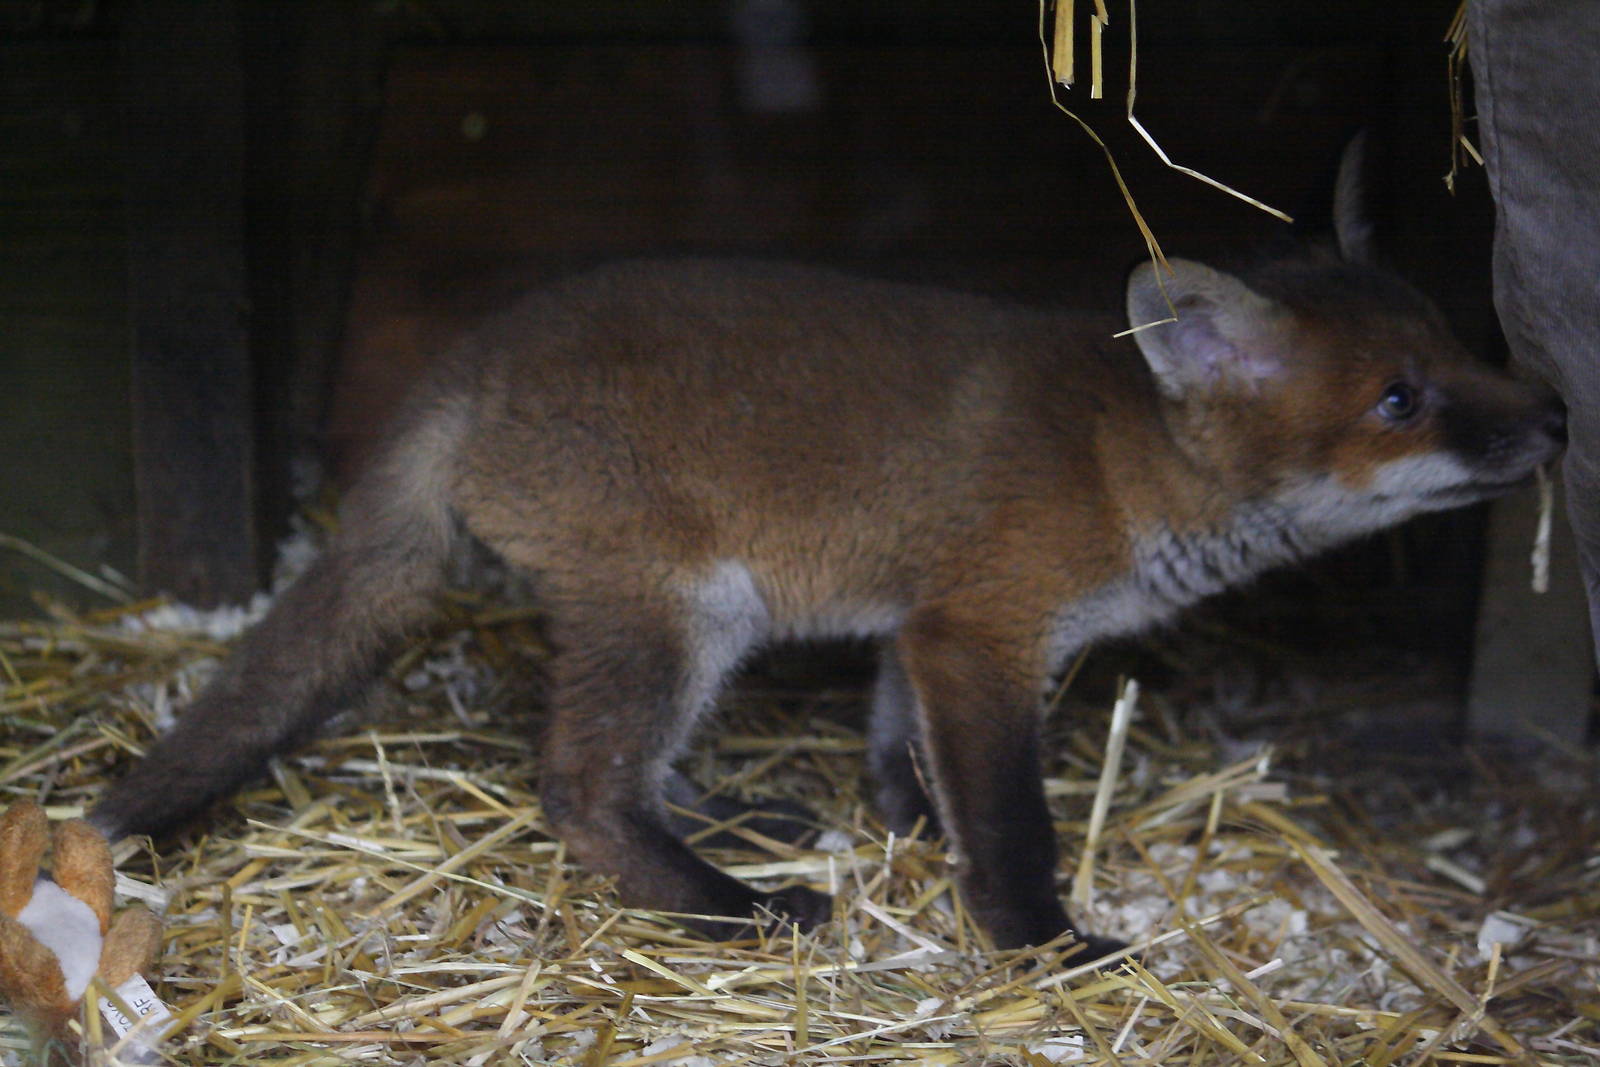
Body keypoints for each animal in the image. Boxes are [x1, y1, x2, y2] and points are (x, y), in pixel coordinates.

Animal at [89, 153, 1564, 960]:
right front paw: (1042, 944)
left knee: (633, 774)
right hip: (678, 611)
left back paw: (748, 826)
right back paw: (735, 905)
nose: (1555, 414)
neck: (1118, 466)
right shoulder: (985, 625)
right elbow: (1013, 822)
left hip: (698, 630)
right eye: (1398, 400)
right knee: (581, 789)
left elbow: (905, 756)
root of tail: (467, 362)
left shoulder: (927, 622)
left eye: (1457, 342)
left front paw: (907, 830)